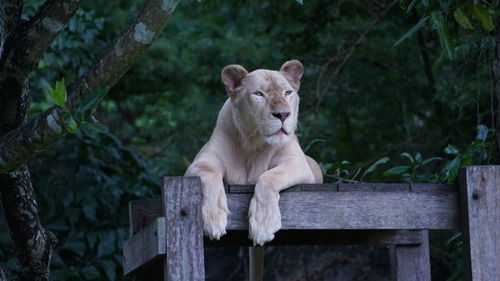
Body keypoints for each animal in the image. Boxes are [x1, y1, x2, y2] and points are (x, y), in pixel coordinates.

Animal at [186, 59, 322, 245]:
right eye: (259, 94)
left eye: (288, 92)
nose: (283, 114)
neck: (253, 143)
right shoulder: (199, 163)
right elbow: (209, 173)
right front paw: (213, 219)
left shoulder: (298, 163)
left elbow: (269, 177)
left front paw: (263, 224)